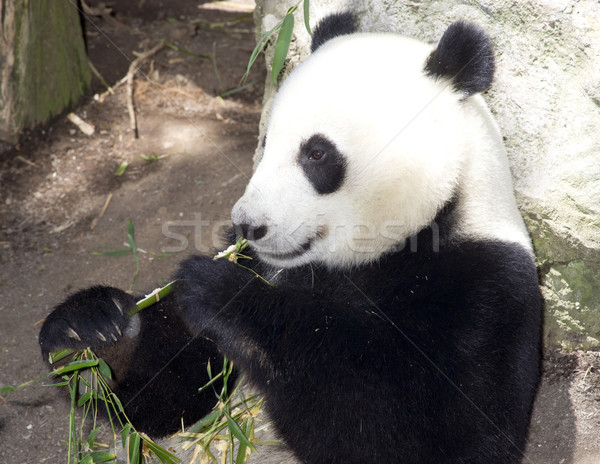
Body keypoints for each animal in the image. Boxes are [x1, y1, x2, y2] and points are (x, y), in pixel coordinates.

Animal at [38, 11, 544, 464]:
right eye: (265, 142)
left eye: (316, 153)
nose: (248, 226)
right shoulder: (259, 262)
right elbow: (175, 395)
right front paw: (90, 333)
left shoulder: (480, 289)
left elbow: (418, 429)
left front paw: (225, 295)